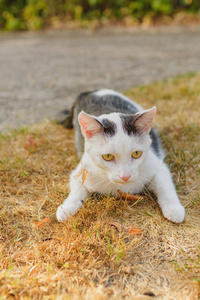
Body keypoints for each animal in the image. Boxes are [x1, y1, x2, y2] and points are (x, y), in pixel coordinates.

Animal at [55, 88, 184, 223]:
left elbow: (165, 184)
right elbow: (77, 189)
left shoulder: (157, 165)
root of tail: (88, 92)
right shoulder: (84, 169)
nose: (125, 176)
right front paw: (67, 207)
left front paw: (174, 208)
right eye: (108, 156)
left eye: (136, 153)